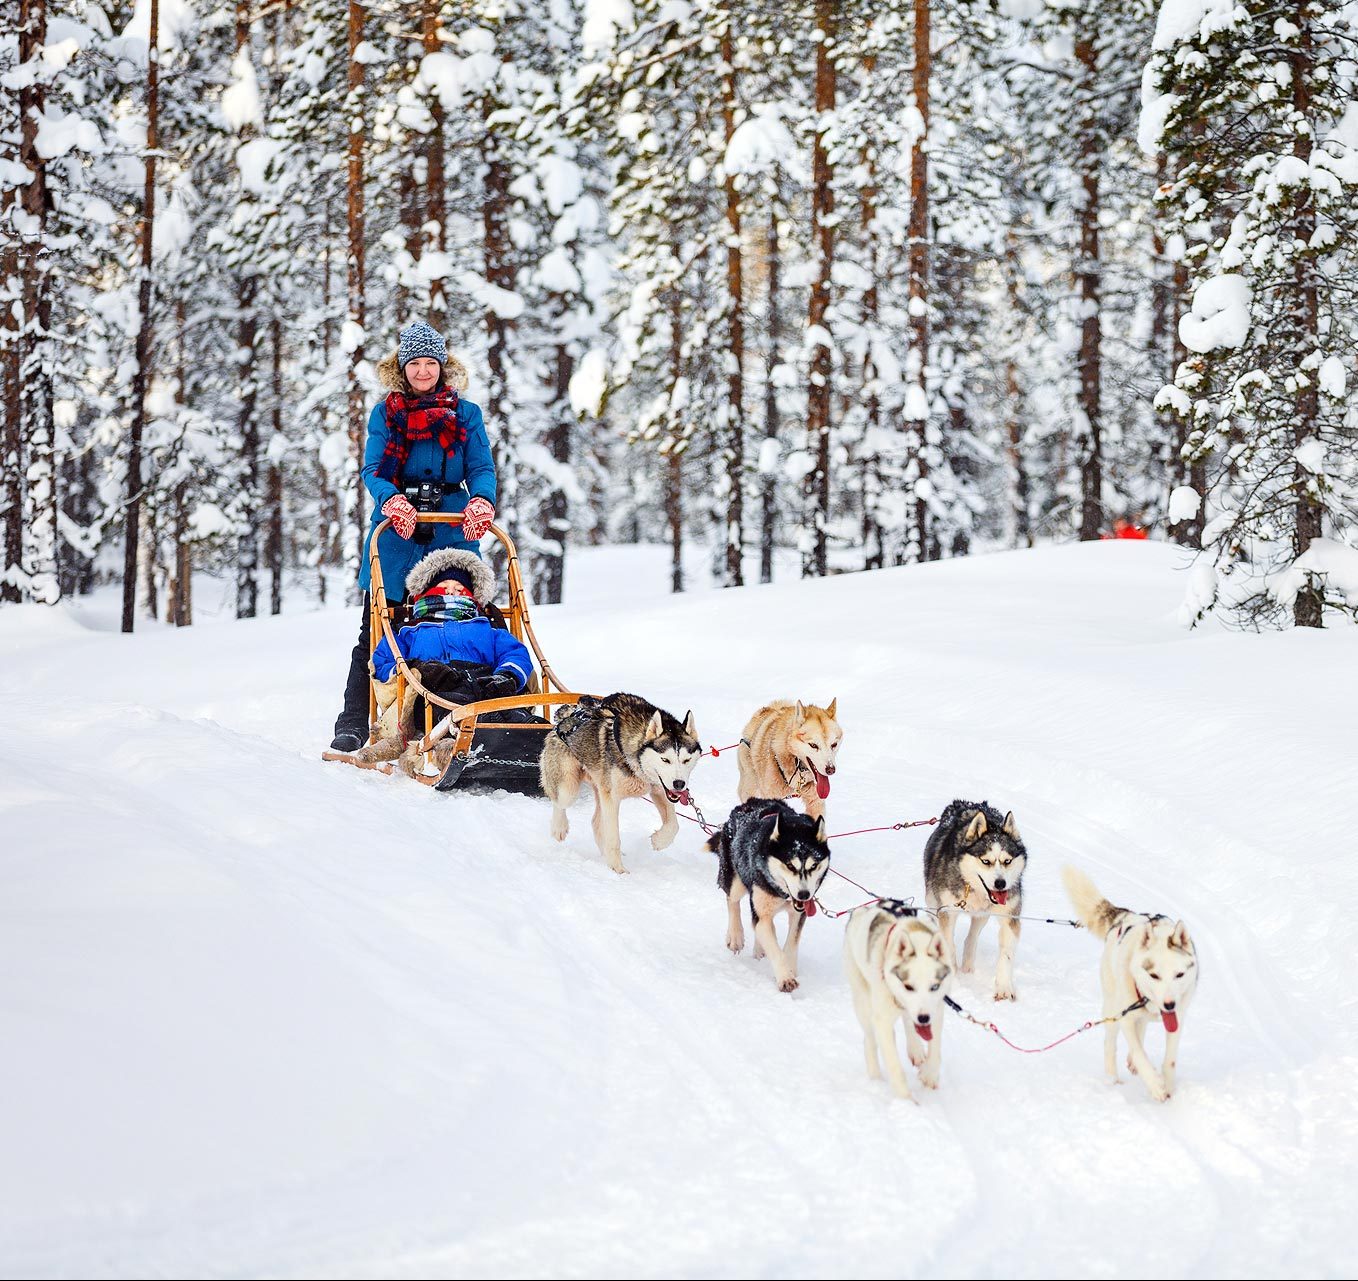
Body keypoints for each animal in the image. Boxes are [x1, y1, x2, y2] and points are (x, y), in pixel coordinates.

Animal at [537, 695, 700, 874]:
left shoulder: (658, 790)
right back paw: (559, 828)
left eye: (686, 760)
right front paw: (618, 870)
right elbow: (614, 838)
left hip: (600, 788)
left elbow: (673, 825)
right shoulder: (612, 798)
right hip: (569, 788)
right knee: (560, 802)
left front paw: (659, 841)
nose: (679, 784)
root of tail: (567, 715)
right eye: (665, 759)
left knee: (596, 823)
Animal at [711, 798, 825, 994]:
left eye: (813, 865)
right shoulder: (762, 913)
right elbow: (773, 946)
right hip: (736, 881)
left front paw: (790, 968)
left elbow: (791, 942)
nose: (804, 894)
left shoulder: (798, 913)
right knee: (732, 901)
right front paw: (785, 978)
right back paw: (735, 935)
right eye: (790, 865)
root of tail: (752, 802)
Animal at [836, 901, 956, 1103]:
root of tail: (861, 910)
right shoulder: (883, 1021)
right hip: (863, 1001)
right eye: (908, 986)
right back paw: (875, 1078)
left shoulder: (936, 1009)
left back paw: (915, 1048)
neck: (914, 935)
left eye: (934, 986)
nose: (924, 1018)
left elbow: (935, 1047)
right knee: (869, 1040)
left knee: (908, 1021)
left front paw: (930, 1074)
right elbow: (894, 1064)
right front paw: (906, 1101)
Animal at [923, 804, 1026, 999]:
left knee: (972, 936)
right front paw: (952, 978)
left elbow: (1006, 954)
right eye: (986, 861)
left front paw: (1003, 988)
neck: (975, 890)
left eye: (1007, 861)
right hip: (932, 901)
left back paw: (968, 965)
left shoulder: (1009, 917)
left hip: (982, 915)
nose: (1000, 884)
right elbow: (949, 944)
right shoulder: (947, 911)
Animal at [1059, 863, 1200, 1108]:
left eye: (1179, 975)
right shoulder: (1125, 1017)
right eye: (1154, 975)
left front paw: (1168, 1084)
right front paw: (1155, 1085)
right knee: (1111, 1043)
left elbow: (1169, 1059)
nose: (1169, 1005)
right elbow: (1139, 1053)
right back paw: (1112, 1078)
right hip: (1112, 1008)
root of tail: (1126, 915)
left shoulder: (1178, 1019)